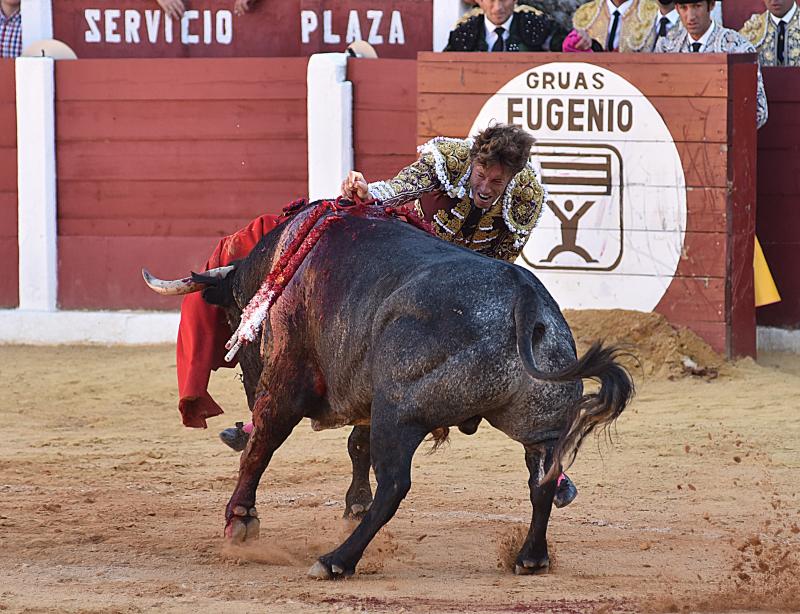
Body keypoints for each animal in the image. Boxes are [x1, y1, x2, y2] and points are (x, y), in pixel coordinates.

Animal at [191, 205, 636, 580]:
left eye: (233, 317)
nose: (246, 384)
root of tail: (523, 297)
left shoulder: (285, 381)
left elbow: (260, 450)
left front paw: (241, 520)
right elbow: (353, 445)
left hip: (399, 412)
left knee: (393, 486)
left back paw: (336, 561)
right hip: (542, 425)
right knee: (543, 480)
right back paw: (530, 557)